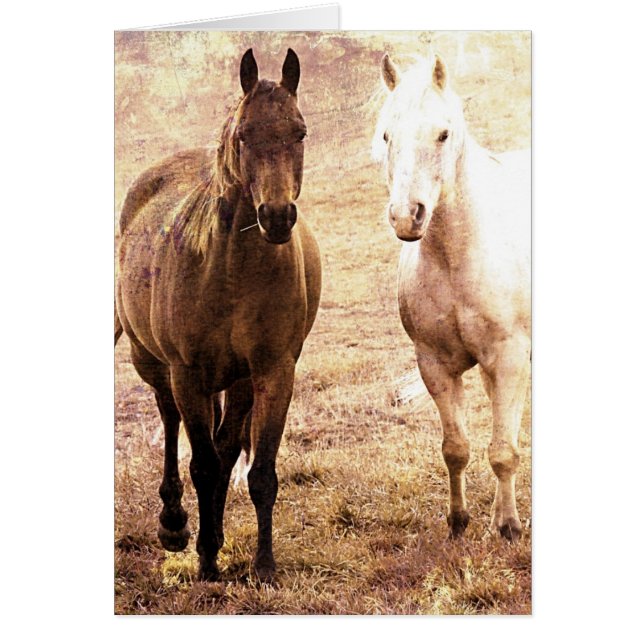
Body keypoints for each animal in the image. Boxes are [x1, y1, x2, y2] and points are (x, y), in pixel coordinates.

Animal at [115, 48, 321, 582]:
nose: (276, 217)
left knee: (226, 448)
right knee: (171, 425)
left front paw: (263, 565)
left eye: (299, 132)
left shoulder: (272, 372)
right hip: (155, 364)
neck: (231, 270)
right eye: (244, 135)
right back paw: (174, 524)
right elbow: (202, 464)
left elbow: (257, 471)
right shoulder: (187, 373)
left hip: (236, 382)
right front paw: (205, 557)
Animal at [373, 51, 530, 541]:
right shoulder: (436, 364)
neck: (457, 258)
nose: (407, 215)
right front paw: (459, 521)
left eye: (443, 134)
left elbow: (503, 451)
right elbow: (456, 447)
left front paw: (509, 526)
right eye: (387, 134)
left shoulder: (510, 358)